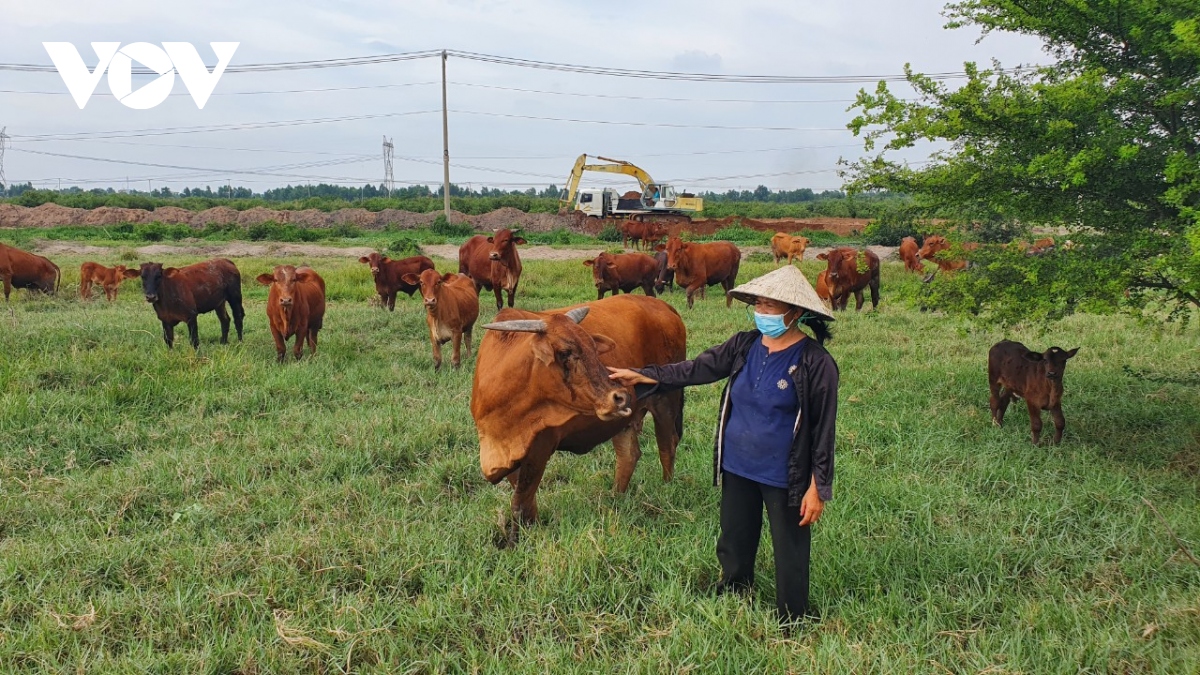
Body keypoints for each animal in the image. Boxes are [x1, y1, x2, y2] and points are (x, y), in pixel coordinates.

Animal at [472, 294, 691, 535]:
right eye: (564, 352)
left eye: (593, 348)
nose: (620, 397)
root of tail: (662, 305)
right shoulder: (508, 454)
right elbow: (524, 499)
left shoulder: (540, 446)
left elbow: (521, 503)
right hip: (624, 420)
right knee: (629, 455)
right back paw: (615, 499)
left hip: (666, 400)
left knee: (667, 446)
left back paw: (665, 490)